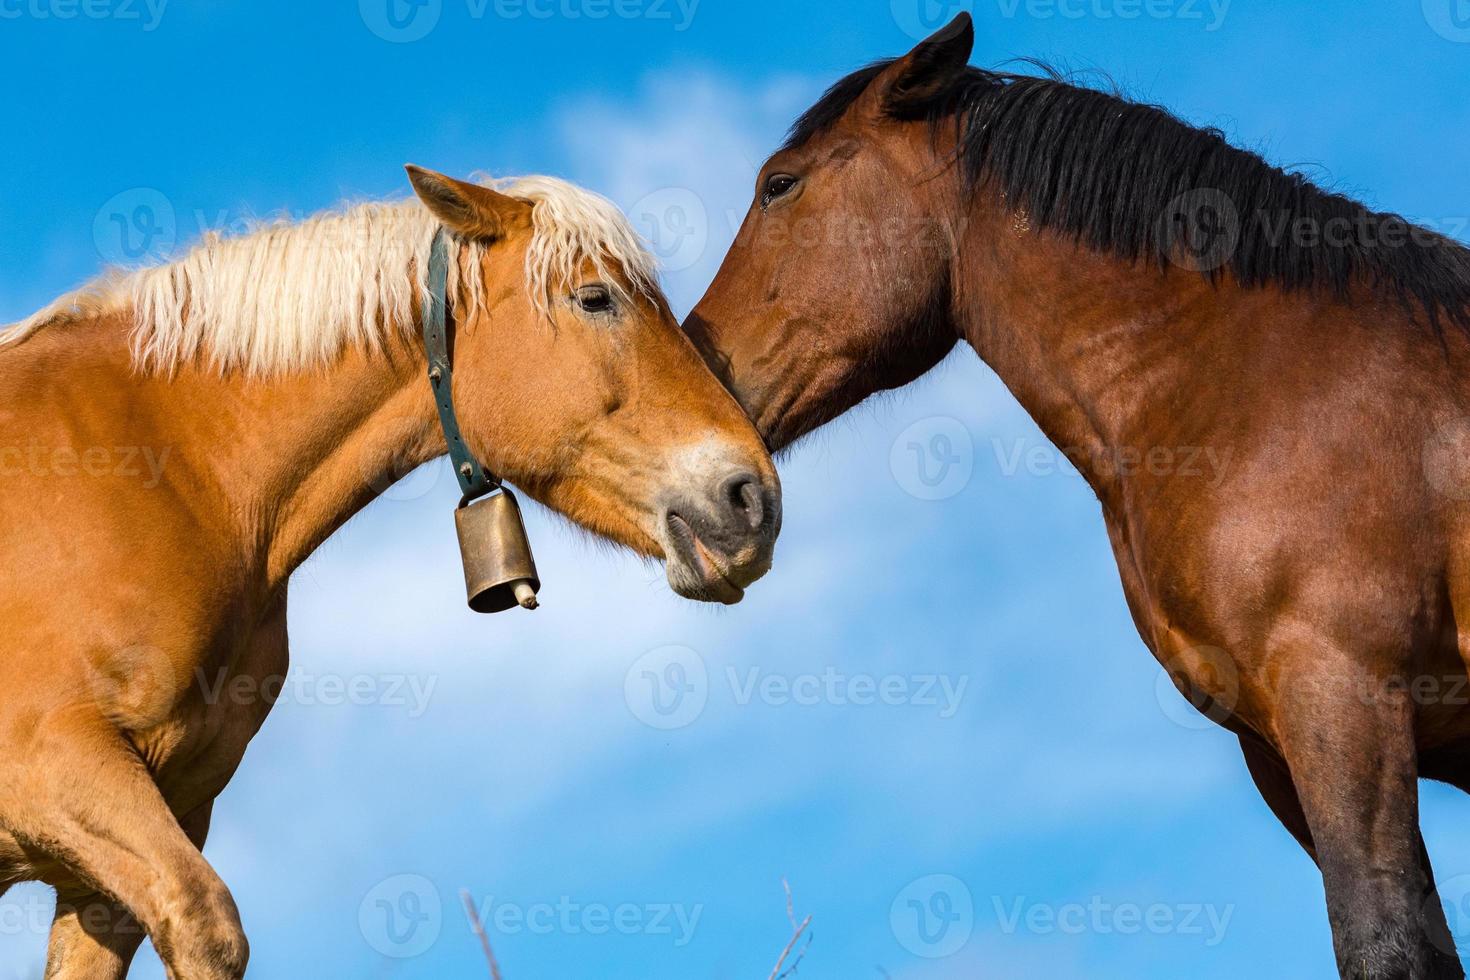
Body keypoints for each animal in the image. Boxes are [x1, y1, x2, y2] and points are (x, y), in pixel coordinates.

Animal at [0, 168, 782, 980]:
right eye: (596, 298)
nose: (752, 498)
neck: (172, 469)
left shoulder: (124, 849)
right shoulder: (56, 771)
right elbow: (206, 923)